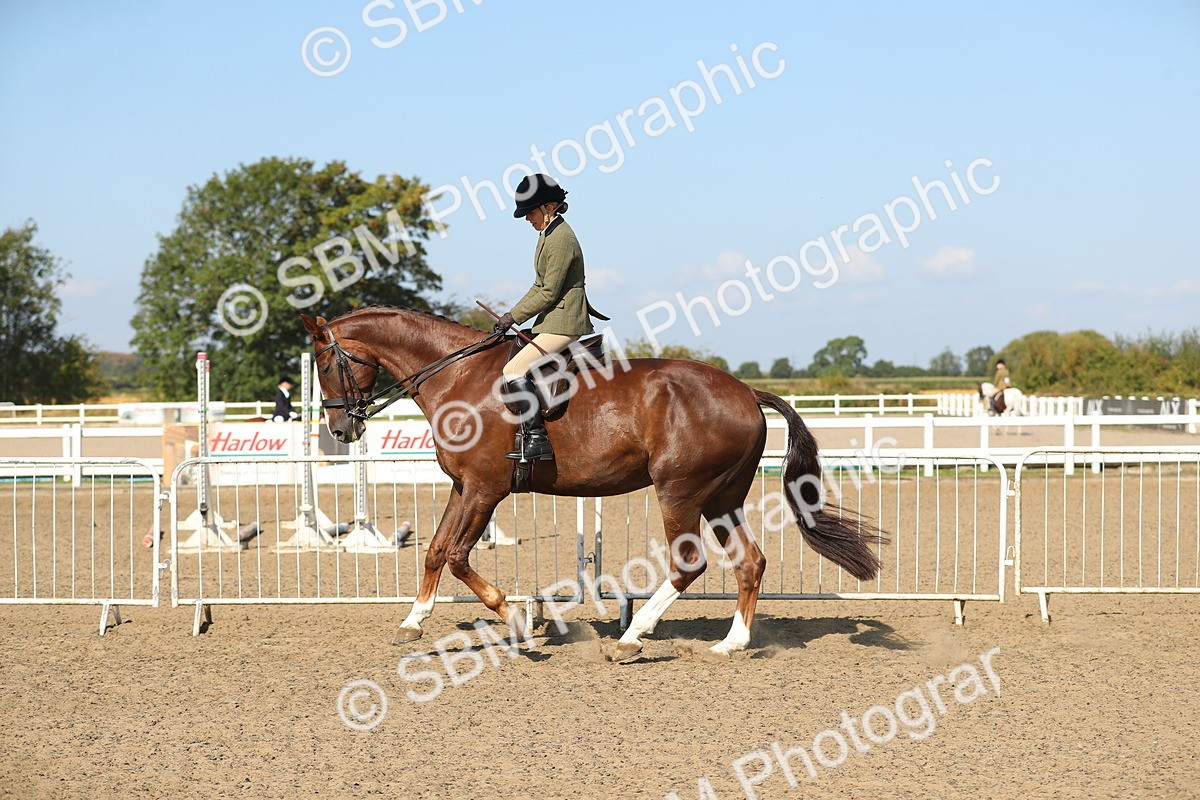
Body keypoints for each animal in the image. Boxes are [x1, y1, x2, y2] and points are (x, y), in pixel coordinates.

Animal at [301, 307, 886, 659]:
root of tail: (746, 391)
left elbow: (460, 557)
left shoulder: (487, 489)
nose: (341, 429)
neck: (457, 377)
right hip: (721, 497)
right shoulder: (463, 487)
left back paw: (632, 638)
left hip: (680, 492)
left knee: (687, 564)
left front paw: (515, 620)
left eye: (326, 363)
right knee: (750, 562)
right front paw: (414, 621)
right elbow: (436, 550)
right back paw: (732, 643)